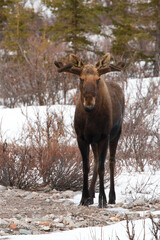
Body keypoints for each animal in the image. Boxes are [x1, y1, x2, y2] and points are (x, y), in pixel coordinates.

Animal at [55, 53, 125, 207]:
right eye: (81, 78)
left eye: (98, 79)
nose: (89, 103)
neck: (90, 118)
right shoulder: (82, 138)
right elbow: (86, 166)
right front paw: (84, 198)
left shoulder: (104, 137)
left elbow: (102, 167)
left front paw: (102, 200)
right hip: (94, 141)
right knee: (97, 160)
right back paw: (91, 195)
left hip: (116, 134)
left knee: (111, 162)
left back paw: (111, 197)